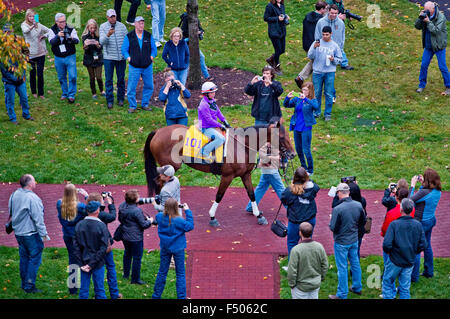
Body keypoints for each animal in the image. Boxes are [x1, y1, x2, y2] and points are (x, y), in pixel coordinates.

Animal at [143, 120, 296, 228]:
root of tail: (157, 131)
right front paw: (212, 217)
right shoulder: (227, 176)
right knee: (159, 183)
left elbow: (252, 194)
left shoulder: (246, 175)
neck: (242, 146)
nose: (293, 154)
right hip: (170, 166)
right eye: (281, 136)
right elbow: (219, 195)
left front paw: (258, 216)